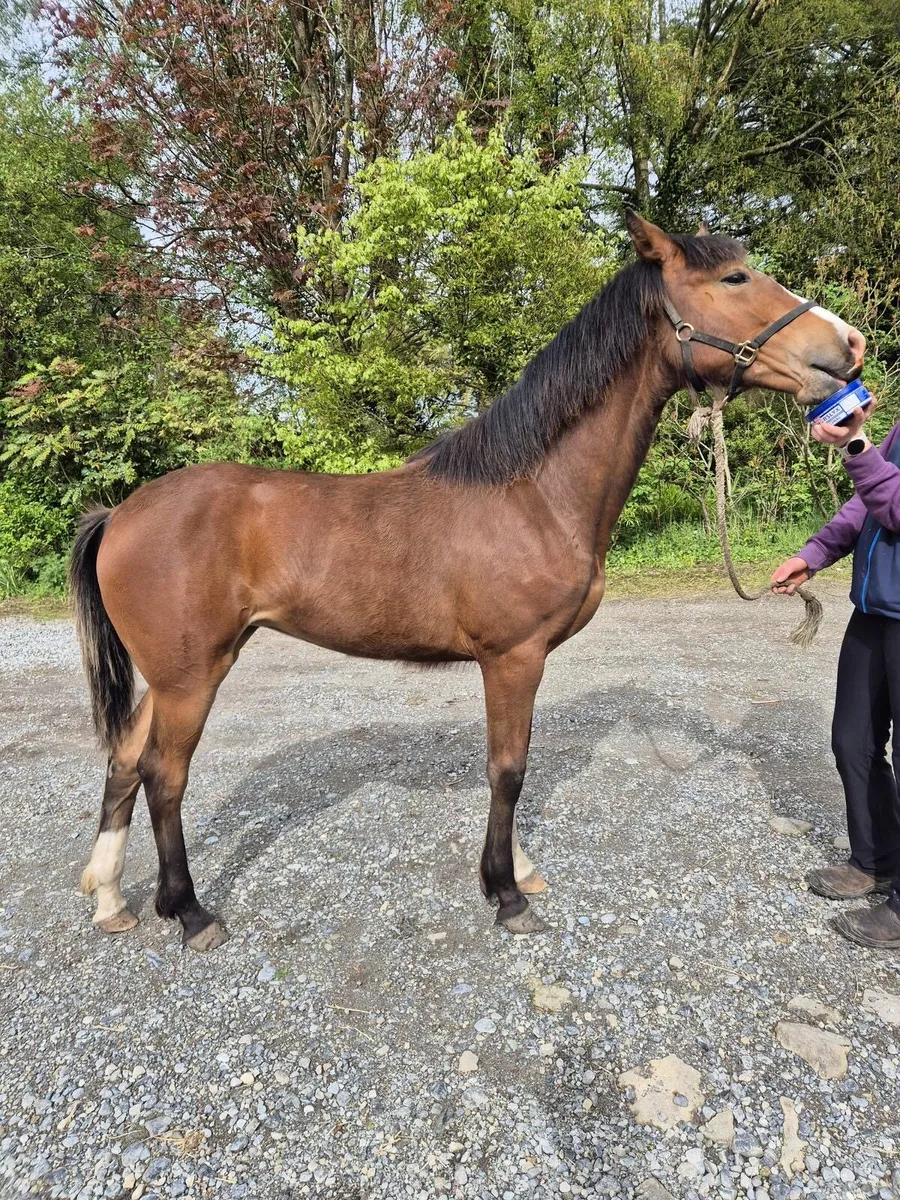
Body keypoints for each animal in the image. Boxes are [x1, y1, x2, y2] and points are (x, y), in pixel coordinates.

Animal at [70, 213, 865, 951]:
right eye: (733, 278)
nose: (849, 347)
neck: (534, 493)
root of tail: (120, 514)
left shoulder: (523, 661)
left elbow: (518, 763)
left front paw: (521, 871)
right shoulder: (512, 657)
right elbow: (508, 770)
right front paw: (506, 895)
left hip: (178, 672)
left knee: (126, 763)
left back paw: (110, 899)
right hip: (191, 678)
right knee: (164, 778)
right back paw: (190, 913)